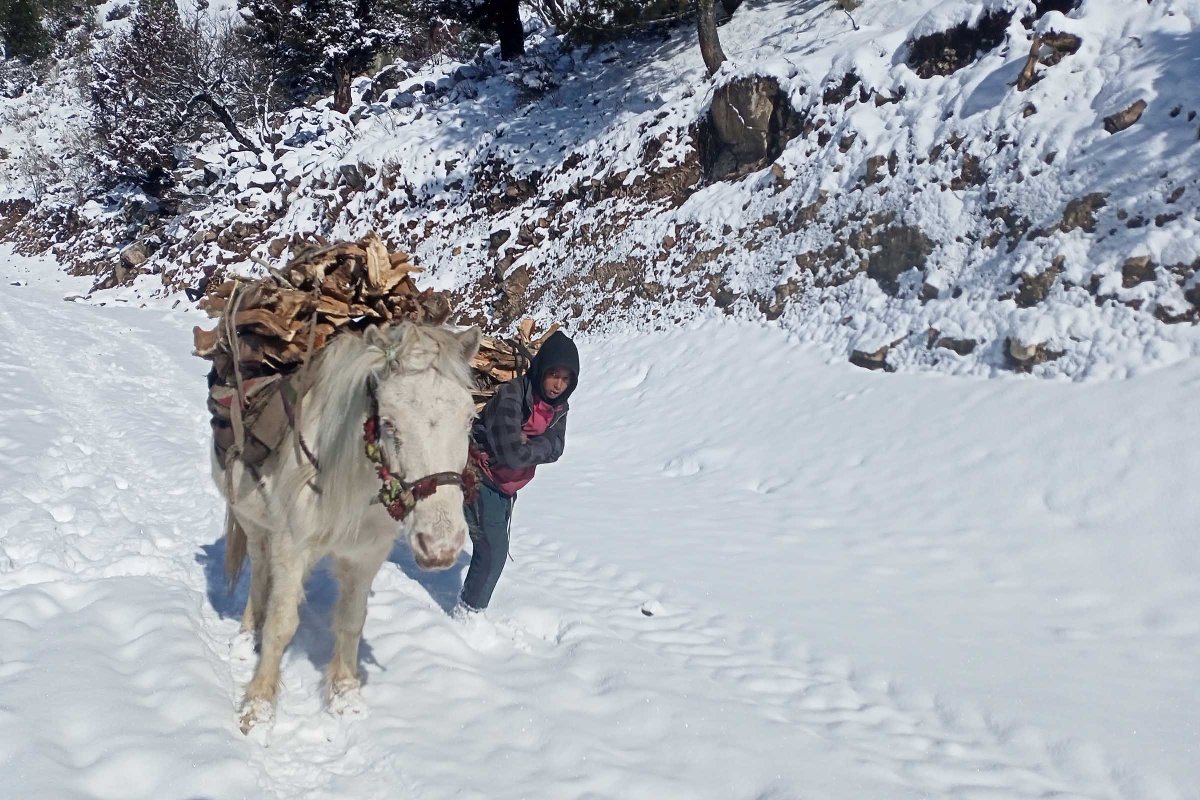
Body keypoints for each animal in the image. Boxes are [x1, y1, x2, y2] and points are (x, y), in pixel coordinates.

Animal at [218, 321, 480, 734]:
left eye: (470, 419)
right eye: (387, 421)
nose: (440, 547)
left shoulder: (365, 557)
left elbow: (352, 620)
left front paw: (346, 697)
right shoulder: (291, 545)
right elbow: (281, 624)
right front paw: (257, 708)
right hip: (253, 523)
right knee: (259, 574)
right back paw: (246, 640)